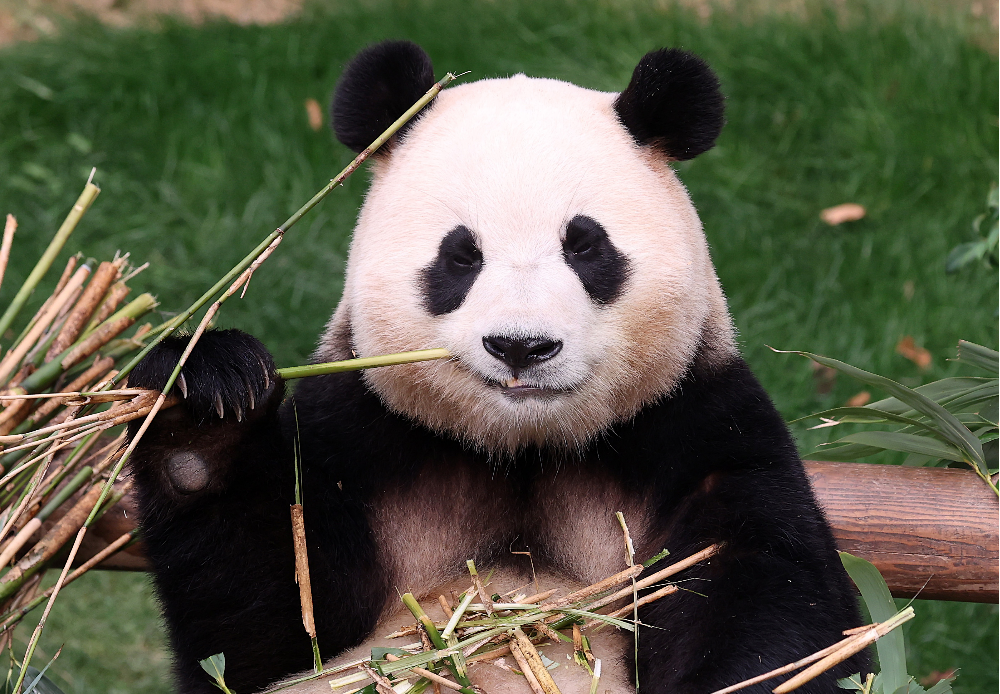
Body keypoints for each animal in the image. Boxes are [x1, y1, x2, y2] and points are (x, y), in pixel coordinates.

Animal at [131, 42, 868, 694]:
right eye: (460, 256)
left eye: (586, 247)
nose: (521, 346)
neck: (522, 450)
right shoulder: (359, 436)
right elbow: (266, 626)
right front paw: (203, 403)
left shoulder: (693, 426)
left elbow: (766, 595)